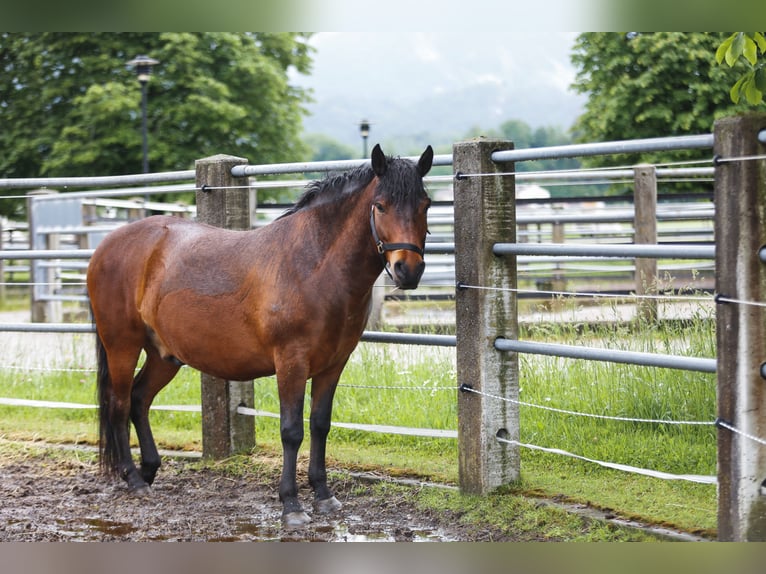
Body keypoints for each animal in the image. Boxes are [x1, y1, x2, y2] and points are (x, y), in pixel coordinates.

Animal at [88, 143, 436, 528]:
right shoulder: (291, 362)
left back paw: (148, 470)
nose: (408, 270)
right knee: (119, 403)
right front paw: (292, 505)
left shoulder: (334, 364)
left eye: (425, 204)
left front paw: (323, 495)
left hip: (165, 355)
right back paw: (133, 479)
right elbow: (292, 431)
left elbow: (320, 425)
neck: (313, 265)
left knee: (139, 399)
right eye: (381, 205)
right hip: (122, 345)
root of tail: (108, 245)